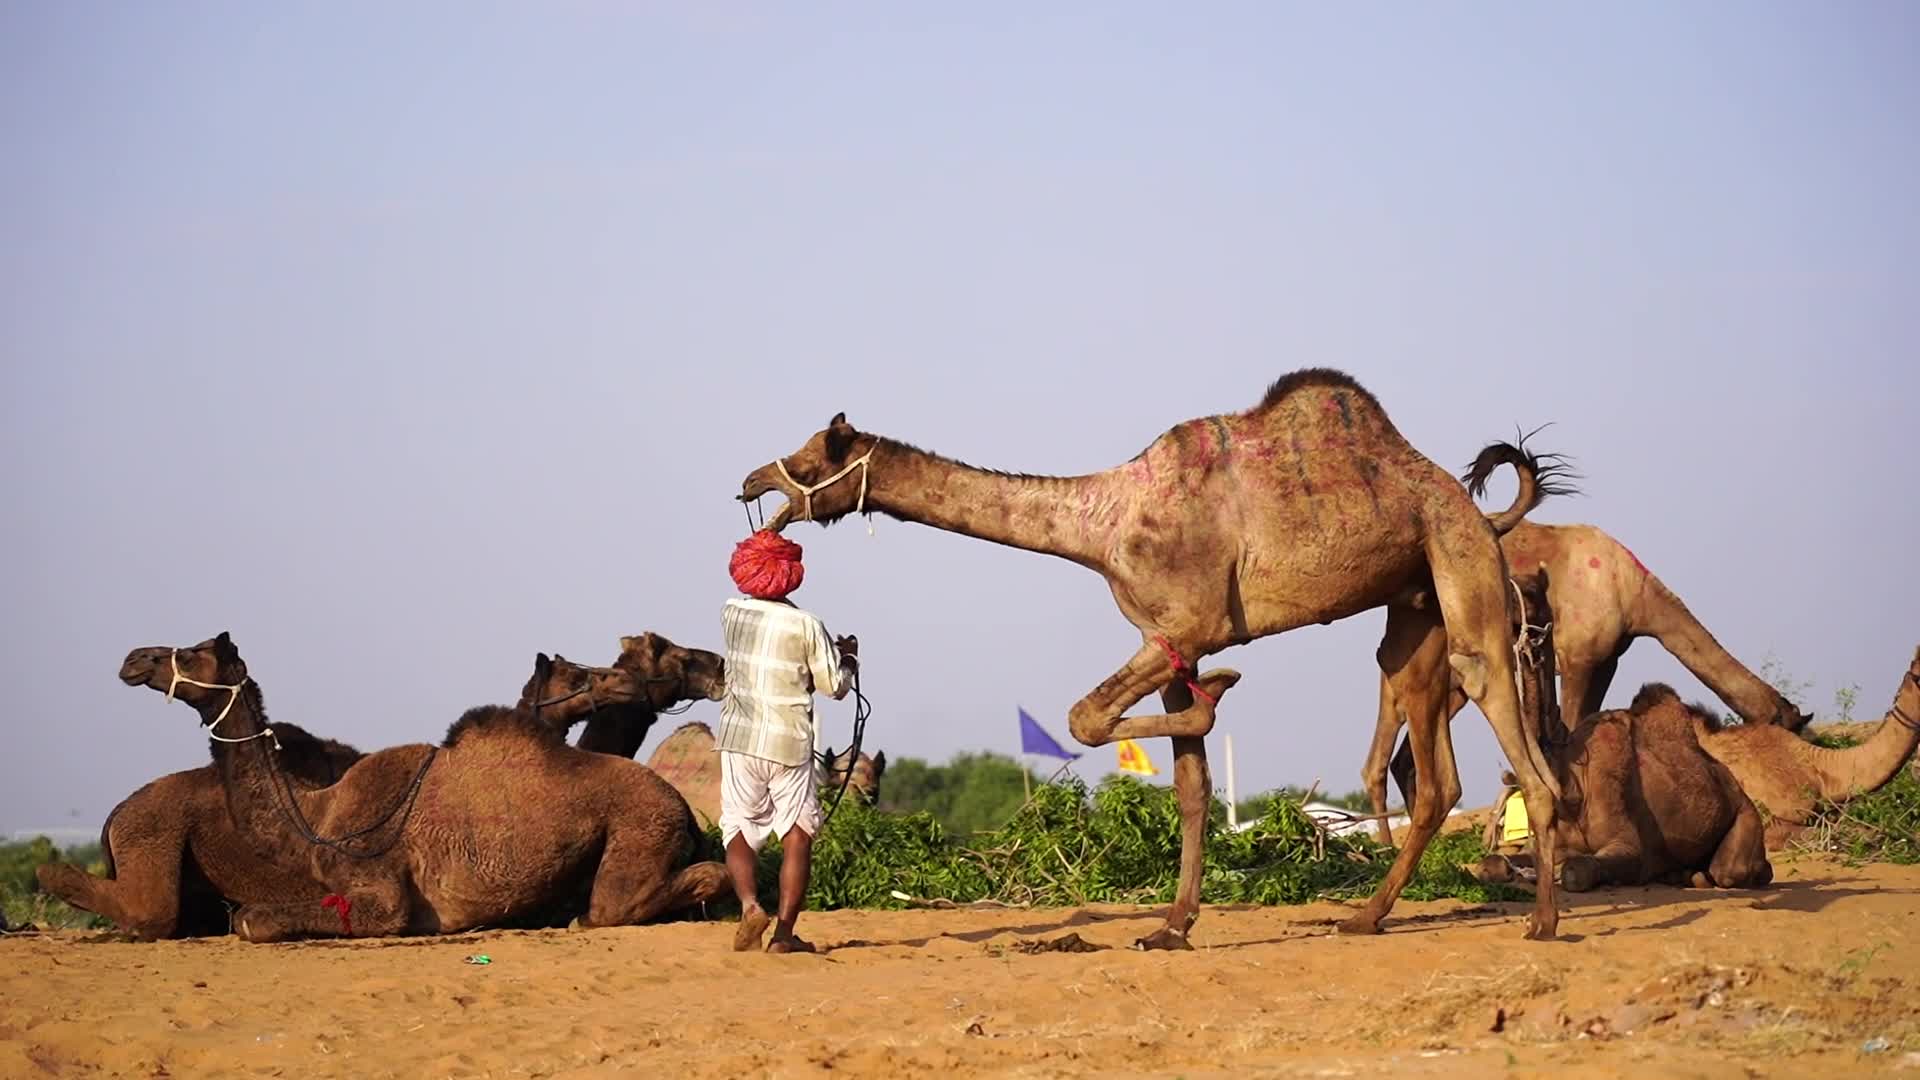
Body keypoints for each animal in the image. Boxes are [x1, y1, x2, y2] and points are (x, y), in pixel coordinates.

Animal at [119, 633, 729, 941]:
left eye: (190, 652)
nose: (133, 658)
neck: (317, 816)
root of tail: (679, 803)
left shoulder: (383, 895)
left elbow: (250, 920)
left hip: (640, 826)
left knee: (630, 899)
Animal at [738, 369, 1570, 946]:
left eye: (811, 455)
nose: (750, 479)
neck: (1103, 526)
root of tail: (1482, 512)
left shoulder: (1184, 626)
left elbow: (1084, 718)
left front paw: (1221, 692)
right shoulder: (1175, 641)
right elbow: (1192, 785)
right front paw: (1171, 927)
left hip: (1460, 567)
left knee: (1510, 725)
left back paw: (1542, 923)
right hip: (1414, 606)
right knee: (1433, 764)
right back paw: (1368, 916)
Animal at [1366, 519, 1812, 844]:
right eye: (1792, 730)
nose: (1804, 803)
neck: (1634, 592)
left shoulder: (1607, 659)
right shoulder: (1579, 656)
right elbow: (1570, 728)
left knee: (1404, 750)